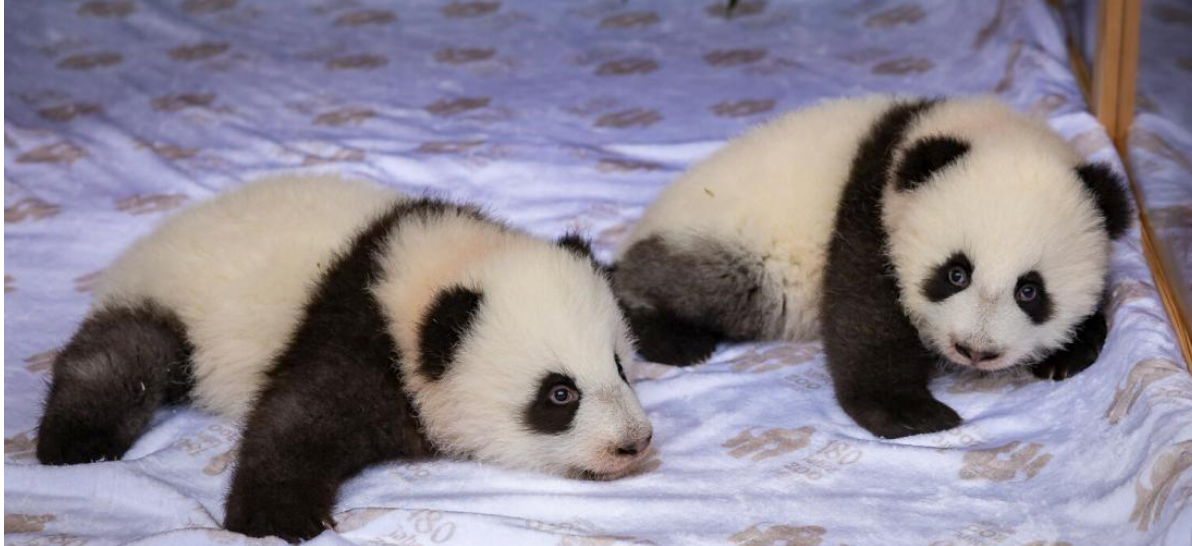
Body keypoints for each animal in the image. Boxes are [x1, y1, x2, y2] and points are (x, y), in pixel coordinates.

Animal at [36, 175, 654, 542]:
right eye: (559, 394)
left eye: (620, 367)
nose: (634, 444)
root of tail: (144, 245)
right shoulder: (357, 333)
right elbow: (299, 417)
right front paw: (276, 516)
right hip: (169, 305)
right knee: (120, 359)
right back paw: (74, 441)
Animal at [612, 95, 1131, 440]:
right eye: (955, 274)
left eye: (1030, 291)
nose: (975, 351)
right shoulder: (870, 206)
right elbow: (864, 315)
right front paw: (909, 413)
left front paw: (1070, 351)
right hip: (731, 250)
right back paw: (672, 337)